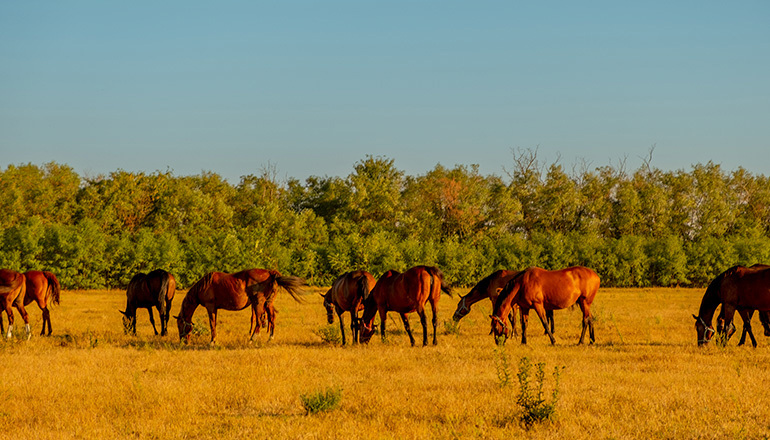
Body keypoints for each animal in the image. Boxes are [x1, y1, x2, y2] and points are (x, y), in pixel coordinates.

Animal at [176, 268, 304, 344]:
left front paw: (212, 341)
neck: (205, 285)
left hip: (258, 303)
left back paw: (252, 339)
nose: (182, 341)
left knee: (258, 321)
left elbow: (212, 324)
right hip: (268, 303)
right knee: (272, 318)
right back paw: (270, 338)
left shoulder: (210, 307)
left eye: (180, 324)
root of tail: (270, 273)